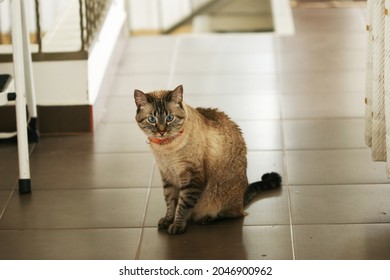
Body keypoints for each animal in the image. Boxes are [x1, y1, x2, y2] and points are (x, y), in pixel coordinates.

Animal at [134, 85, 280, 234]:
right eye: (152, 119)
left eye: (170, 117)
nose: (162, 131)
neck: (164, 148)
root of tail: (242, 195)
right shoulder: (167, 175)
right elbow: (170, 202)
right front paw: (168, 220)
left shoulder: (191, 178)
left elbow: (182, 206)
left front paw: (177, 225)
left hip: (219, 196)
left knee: (234, 214)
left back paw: (207, 218)